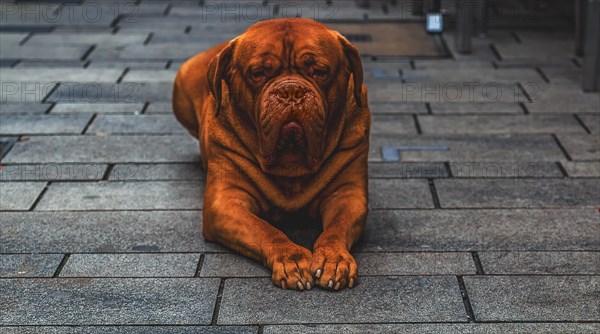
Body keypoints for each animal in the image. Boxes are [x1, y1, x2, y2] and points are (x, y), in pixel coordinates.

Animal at [171, 17, 370, 290]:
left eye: (319, 71)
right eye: (258, 73)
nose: (291, 91)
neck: (292, 164)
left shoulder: (348, 194)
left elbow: (336, 229)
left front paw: (334, 257)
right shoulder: (225, 201)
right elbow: (265, 230)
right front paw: (291, 259)